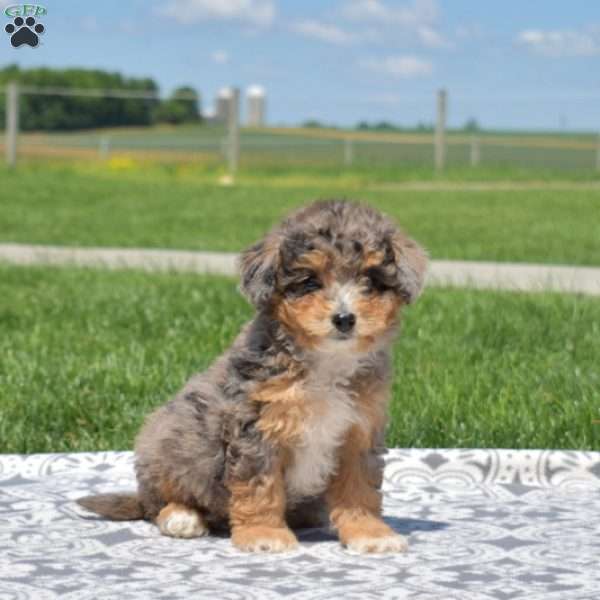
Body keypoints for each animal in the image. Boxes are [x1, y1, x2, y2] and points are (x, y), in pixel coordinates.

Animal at [78, 200, 426, 552]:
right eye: (310, 281)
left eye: (370, 279)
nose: (344, 319)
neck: (326, 362)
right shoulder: (256, 429)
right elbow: (260, 486)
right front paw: (264, 534)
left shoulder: (359, 432)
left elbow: (360, 490)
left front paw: (369, 533)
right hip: (169, 448)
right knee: (157, 503)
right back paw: (181, 517)